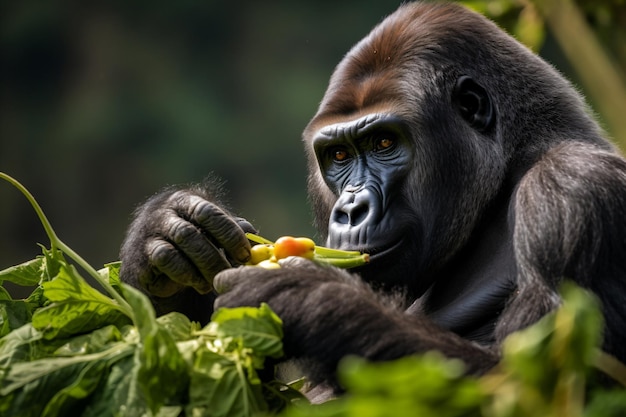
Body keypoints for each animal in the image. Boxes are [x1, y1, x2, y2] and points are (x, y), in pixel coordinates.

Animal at [119, 1, 624, 394]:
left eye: (384, 143)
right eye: (339, 154)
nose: (350, 210)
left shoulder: (574, 191)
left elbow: (534, 385)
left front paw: (314, 303)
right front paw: (168, 240)